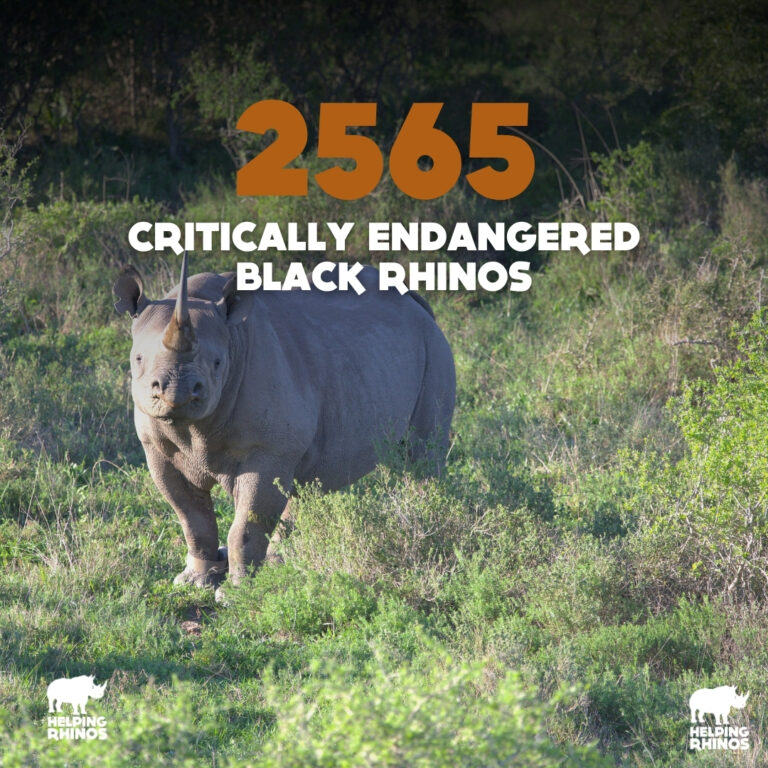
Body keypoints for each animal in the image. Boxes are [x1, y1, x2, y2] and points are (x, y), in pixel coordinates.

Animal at [114, 255, 455, 593]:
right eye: (138, 359)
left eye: (218, 363)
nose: (177, 392)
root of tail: (417, 305)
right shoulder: (157, 448)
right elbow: (191, 517)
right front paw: (196, 580)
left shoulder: (268, 448)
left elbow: (248, 522)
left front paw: (237, 592)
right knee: (304, 480)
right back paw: (279, 561)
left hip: (434, 349)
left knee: (421, 457)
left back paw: (424, 524)